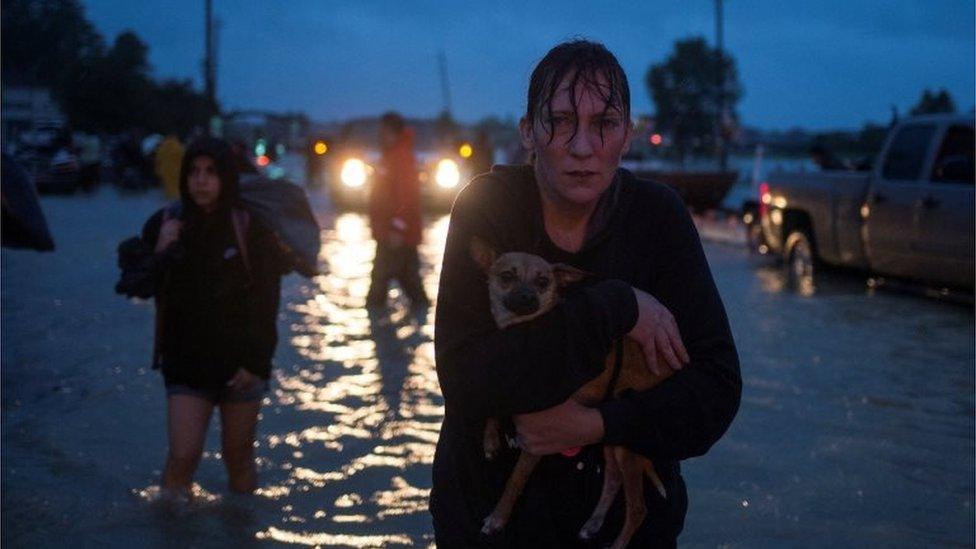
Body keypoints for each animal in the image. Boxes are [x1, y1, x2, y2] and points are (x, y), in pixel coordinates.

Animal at [470, 238, 672, 548]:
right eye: (507, 276)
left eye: (543, 282)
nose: (526, 297)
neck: (525, 331)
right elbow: (495, 399)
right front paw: (491, 439)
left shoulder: (537, 440)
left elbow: (514, 482)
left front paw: (497, 519)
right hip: (610, 439)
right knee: (612, 479)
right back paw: (592, 524)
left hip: (626, 449)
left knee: (638, 508)